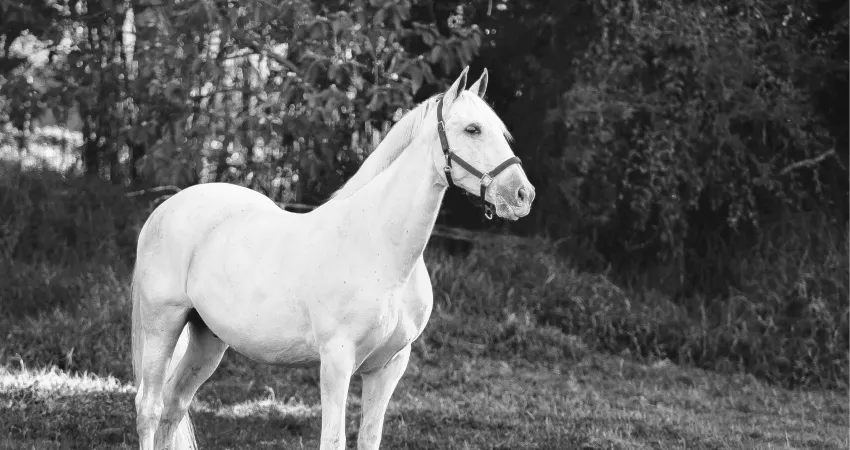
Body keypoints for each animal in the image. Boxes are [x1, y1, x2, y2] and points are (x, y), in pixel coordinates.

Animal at [129, 67, 532, 450]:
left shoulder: (388, 367)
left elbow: (369, 438)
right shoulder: (337, 360)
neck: (381, 248)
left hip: (208, 339)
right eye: (472, 129)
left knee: (174, 405)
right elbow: (333, 440)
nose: (523, 195)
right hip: (162, 325)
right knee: (149, 407)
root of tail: (167, 207)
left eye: (501, 131)